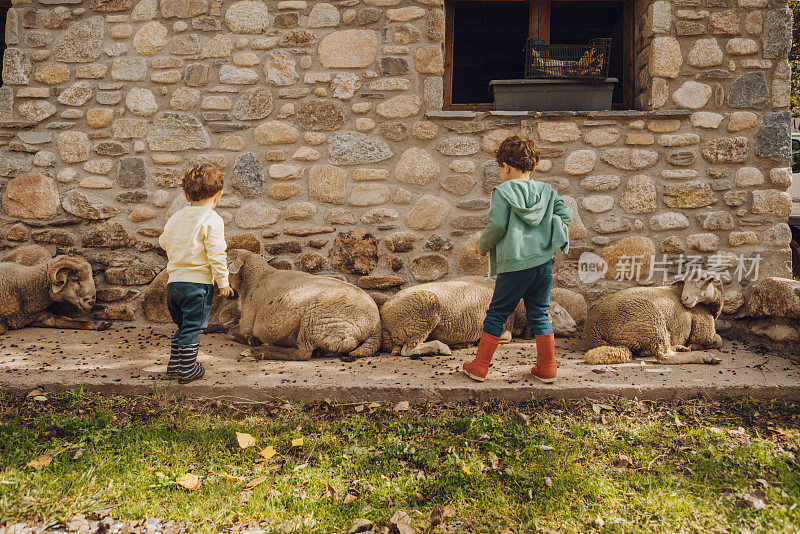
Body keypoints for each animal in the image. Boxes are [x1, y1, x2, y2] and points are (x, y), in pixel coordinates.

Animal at [225, 250, 382, 360]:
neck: (258, 277)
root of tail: (375, 328)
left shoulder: (247, 322)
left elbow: (231, 332)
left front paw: (251, 340)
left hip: (313, 321)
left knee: (302, 353)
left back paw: (256, 351)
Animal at [378, 276, 580, 360]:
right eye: (557, 312)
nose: (575, 326)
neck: (519, 310)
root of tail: (384, 318)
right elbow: (507, 336)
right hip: (419, 317)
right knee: (407, 350)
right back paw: (442, 348)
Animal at [584, 270, 728, 366]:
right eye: (685, 281)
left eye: (702, 279)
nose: (684, 298)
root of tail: (593, 332)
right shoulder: (704, 332)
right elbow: (719, 340)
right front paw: (695, 345)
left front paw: (691, 345)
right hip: (652, 322)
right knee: (664, 356)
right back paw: (706, 357)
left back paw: (680, 347)